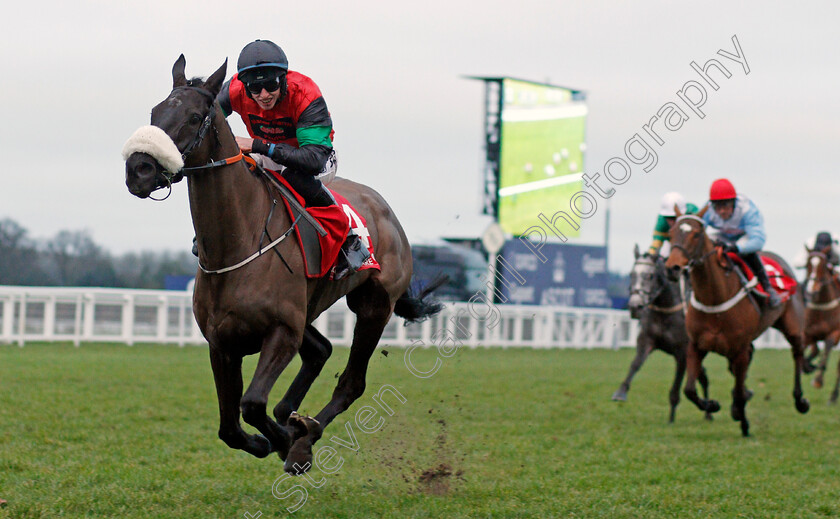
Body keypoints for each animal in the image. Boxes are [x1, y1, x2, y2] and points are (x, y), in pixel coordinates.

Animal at [123, 57, 446, 476]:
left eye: (194, 117)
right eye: (155, 112)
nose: (139, 169)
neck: (239, 243)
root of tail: (386, 211)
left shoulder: (281, 333)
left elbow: (251, 404)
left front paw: (292, 441)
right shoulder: (222, 343)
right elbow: (229, 427)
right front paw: (272, 438)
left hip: (374, 306)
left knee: (351, 382)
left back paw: (305, 434)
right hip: (308, 309)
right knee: (321, 350)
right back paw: (292, 418)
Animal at [612, 247, 712, 422]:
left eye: (650, 275)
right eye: (631, 274)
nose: (634, 306)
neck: (666, 310)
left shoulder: (682, 352)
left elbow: (676, 385)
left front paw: (671, 419)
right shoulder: (646, 341)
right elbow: (635, 364)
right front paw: (621, 392)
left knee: (704, 379)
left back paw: (707, 413)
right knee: (703, 377)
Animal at [664, 209, 808, 436]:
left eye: (696, 234)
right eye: (670, 233)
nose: (673, 268)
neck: (714, 299)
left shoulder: (740, 351)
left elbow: (740, 391)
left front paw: (744, 423)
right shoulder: (696, 346)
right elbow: (689, 390)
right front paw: (713, 405)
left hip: (792, 326)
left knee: (798, 353)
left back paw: (800, 400)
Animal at [800, 250, 840, 400]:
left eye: (823, 265)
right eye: (808, 264)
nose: (812, 290)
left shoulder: (835, 333)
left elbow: (826, 350)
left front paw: (818, 380)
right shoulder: (808, 333)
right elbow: (810, 351)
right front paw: (807, 366)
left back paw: (833, 397)